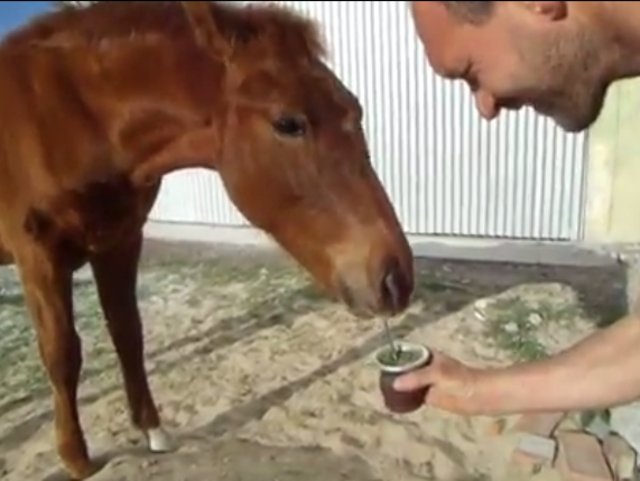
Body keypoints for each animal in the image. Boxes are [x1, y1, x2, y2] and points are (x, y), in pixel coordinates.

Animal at [0, 1, 414, 478]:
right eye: (288, 123)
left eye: (355, 110)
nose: (396, 277)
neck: (68, 117)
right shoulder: (39, 259)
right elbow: (62, 354)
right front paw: (75, 456)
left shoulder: (119, 242)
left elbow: (128, 334)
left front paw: (153, 430)